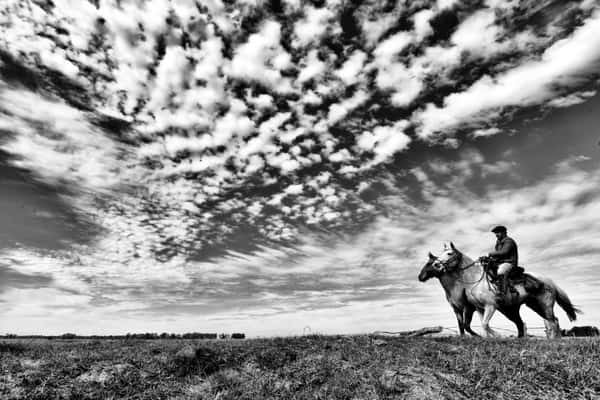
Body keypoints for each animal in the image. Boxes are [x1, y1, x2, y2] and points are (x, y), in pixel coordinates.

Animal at [418, 242, 580, 340]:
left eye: (450, 253)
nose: (437, 264)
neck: (474, 280)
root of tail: (549, 281)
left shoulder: (489, 306)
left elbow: (483, 325)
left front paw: (497, 336)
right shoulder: (478, 308)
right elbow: (482, 325)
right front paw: (489, 338)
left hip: (545, 304)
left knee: (552, 321)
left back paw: (553, 339)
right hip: (534, 305)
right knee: (545, 321)